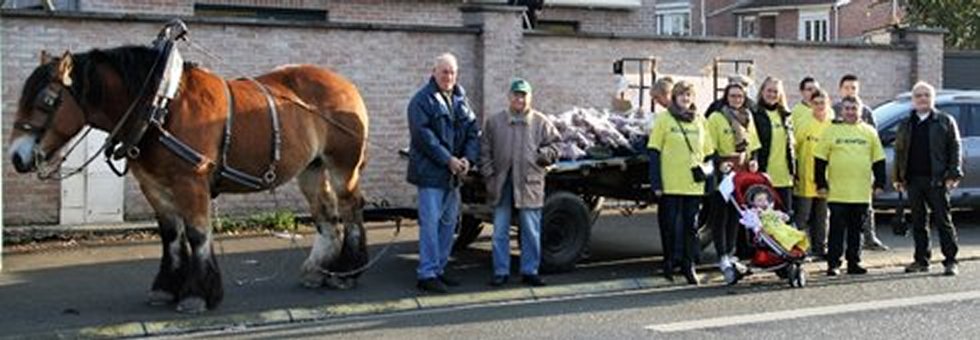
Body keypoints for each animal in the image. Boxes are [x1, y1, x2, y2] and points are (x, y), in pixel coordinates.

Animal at [7, 46, 372, 312]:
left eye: (46, 101)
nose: (16, 157)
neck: (161, 105)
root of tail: (347, 85)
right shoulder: (154, 186)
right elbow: (171, 236)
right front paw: (166, 289)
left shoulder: (191, 182)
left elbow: (197, 234)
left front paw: (197, 294)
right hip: (312, 168)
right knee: (328, 217)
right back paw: (317, 271)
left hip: (343, 166)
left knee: (351, 210)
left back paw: (347, 273)